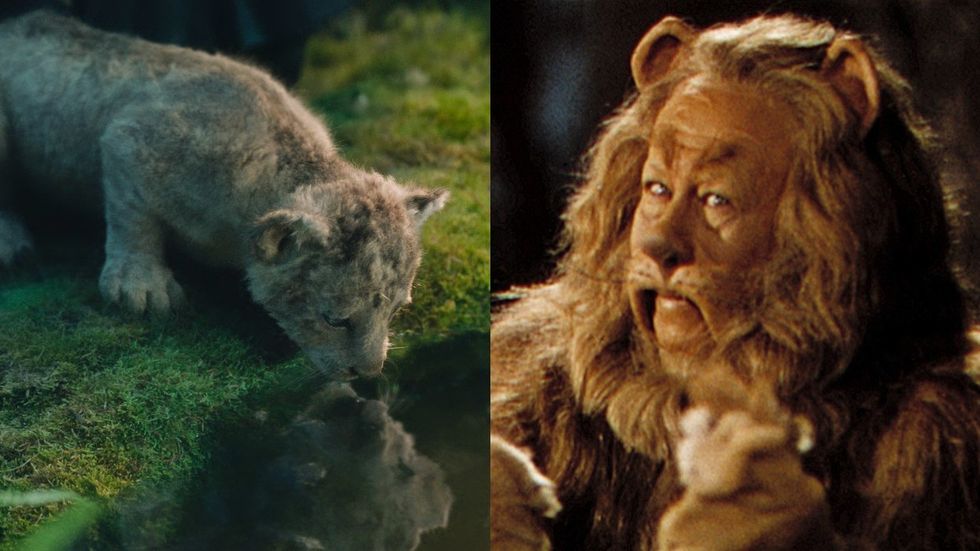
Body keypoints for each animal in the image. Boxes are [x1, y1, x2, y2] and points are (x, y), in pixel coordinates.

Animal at [0, 11, 447, 379]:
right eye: (335, 319)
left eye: (396, 309)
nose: (369, 372)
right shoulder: (127, 140)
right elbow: (132, 216)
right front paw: (139, 287)